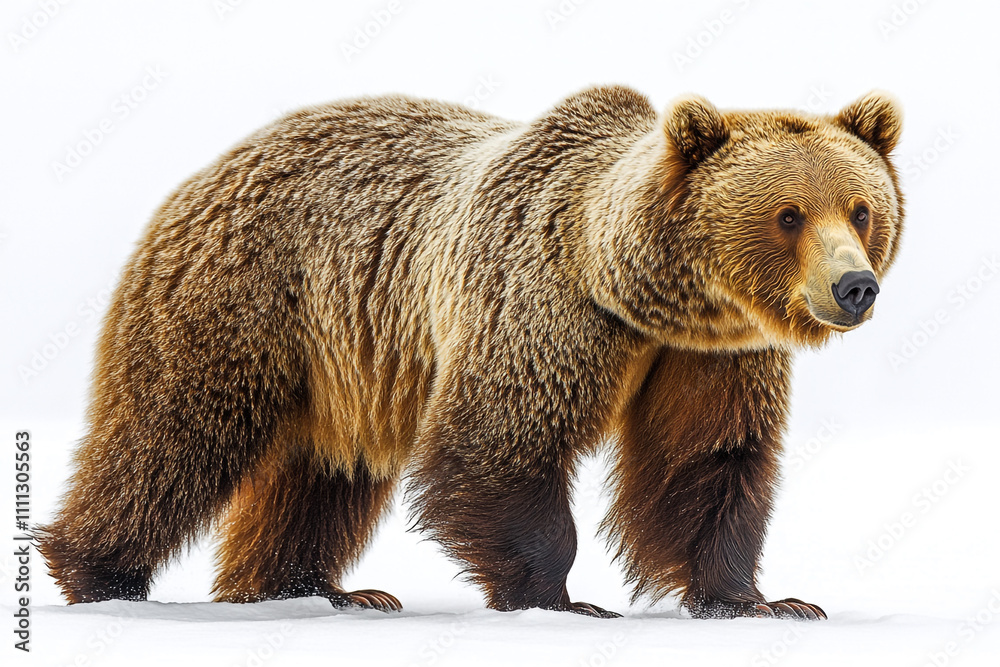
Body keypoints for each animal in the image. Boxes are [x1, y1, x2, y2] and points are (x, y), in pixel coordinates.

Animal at [38, 86, 903, 620]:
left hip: (339, 360)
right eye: (789, 214)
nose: (855, 286)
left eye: (860, 207)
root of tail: (209, 168)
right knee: (173, 434)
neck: (641, 294)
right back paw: (99, 574)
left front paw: (762, 599)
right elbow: (499, 440)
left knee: (324, 470)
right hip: (244, 298)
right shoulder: (541, 303)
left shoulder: (712, 353)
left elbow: (707, 461)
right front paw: (560, 596)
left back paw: (317, 588)